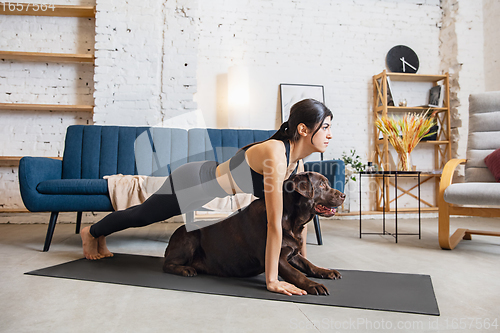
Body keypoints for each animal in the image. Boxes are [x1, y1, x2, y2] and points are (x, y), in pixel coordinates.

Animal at [162, 171, 346, 294]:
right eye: (321, 184)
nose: (343, 195)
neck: (292, 222)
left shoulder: (292, 253)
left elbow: (309, 264)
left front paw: (326, 271)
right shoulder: (277, 257)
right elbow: (297, 274)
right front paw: (313, 285)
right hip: (189, 239)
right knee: (167, 265)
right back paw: (186, 270)